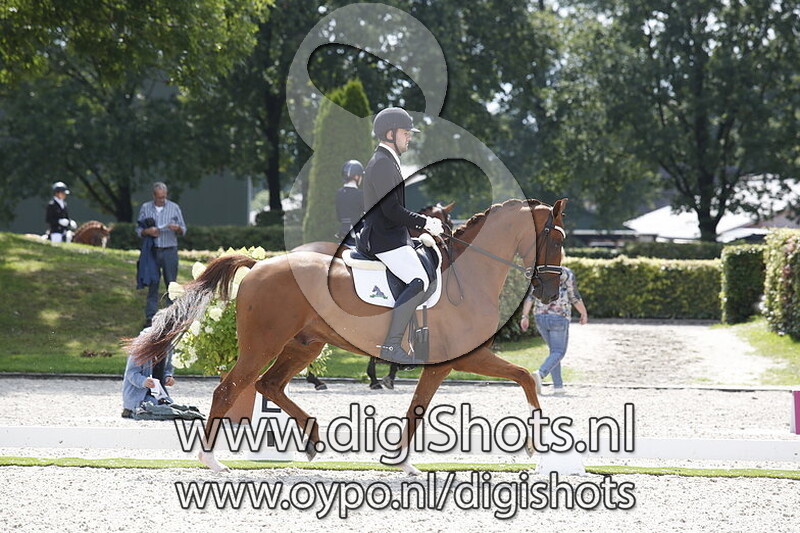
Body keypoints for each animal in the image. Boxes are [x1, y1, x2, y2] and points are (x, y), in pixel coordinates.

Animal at [127, 197, 567, 474]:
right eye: (558, 238)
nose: (550, 292)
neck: (469, 276)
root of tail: (259, 265)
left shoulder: (448, 364)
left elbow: (420, 408)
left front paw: (401, 461)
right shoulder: (463, 359)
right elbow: (525, 378)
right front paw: (538, 443)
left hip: (305, 345)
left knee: (269, 385)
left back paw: (312, 440)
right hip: (263, 345)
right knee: (230, 389)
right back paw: (212, 460)